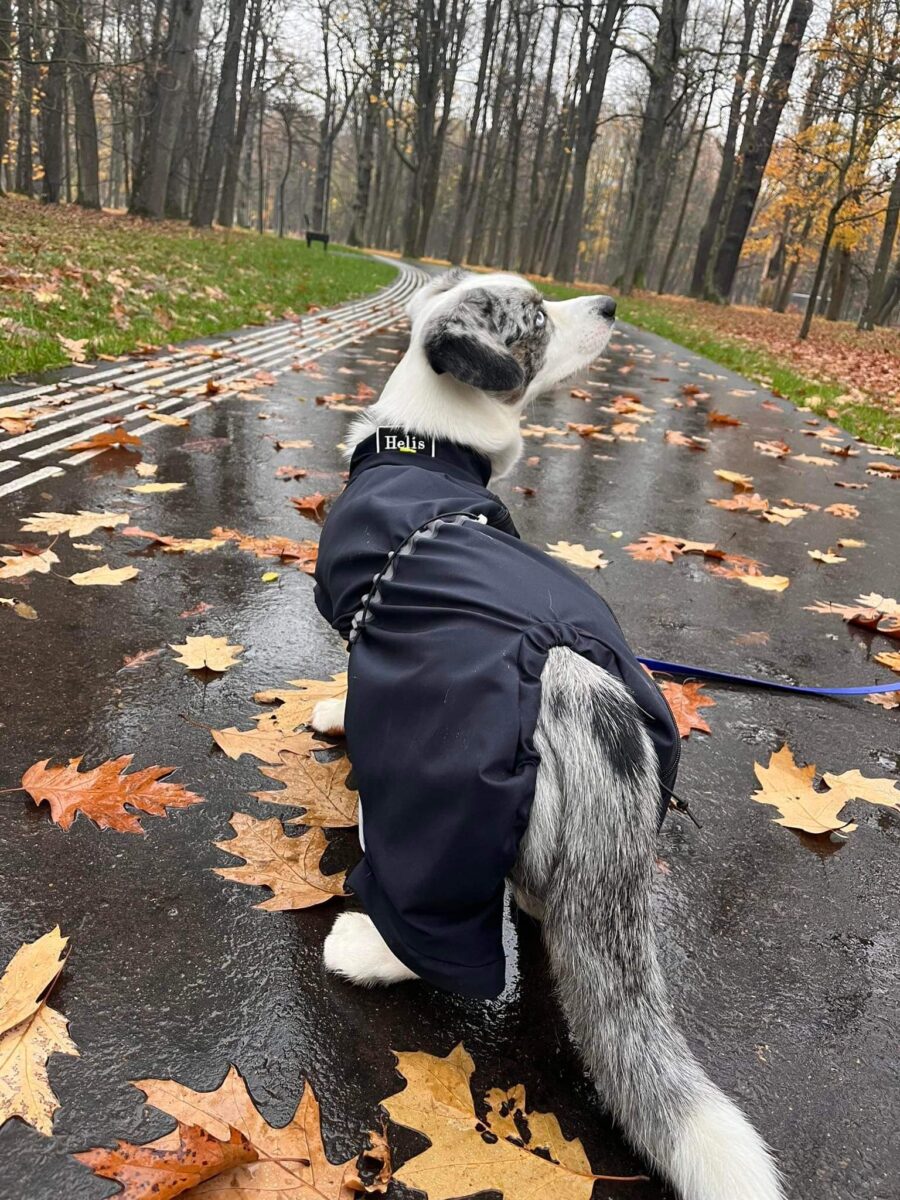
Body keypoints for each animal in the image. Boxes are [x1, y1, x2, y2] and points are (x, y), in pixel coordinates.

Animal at [309, 272, 782, 1200]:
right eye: (536, 318)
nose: (610, 306)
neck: (425, 446)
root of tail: (576, 687)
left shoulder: (364, 631)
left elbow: (347, 681)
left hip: (436, 810)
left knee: (437, 930)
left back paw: (365, 943)